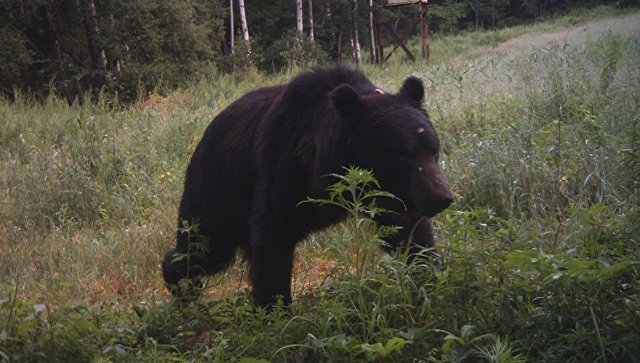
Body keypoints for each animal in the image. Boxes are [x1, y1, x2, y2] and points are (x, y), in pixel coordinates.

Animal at [162, 65, 452, 308]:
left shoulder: (389, 196)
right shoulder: (283, 169)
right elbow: (272, 238)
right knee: (204, 246)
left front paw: (430, 278)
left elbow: (410, 233)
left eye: (433, 149)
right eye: (403, 155)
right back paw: (182, 286)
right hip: (217, 188)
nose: (442, 197)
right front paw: (273, 309)